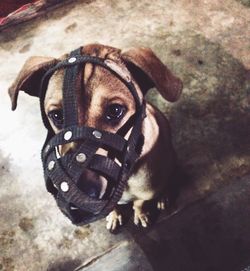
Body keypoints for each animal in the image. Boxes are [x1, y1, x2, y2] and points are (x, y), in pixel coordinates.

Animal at [8, 44, 183, 232]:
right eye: (56, 115)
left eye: (115, 110)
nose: (76, 198)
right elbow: (114, 206)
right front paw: (114, 216)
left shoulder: (145, 194)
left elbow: (139, 204)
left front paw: (141, 214)